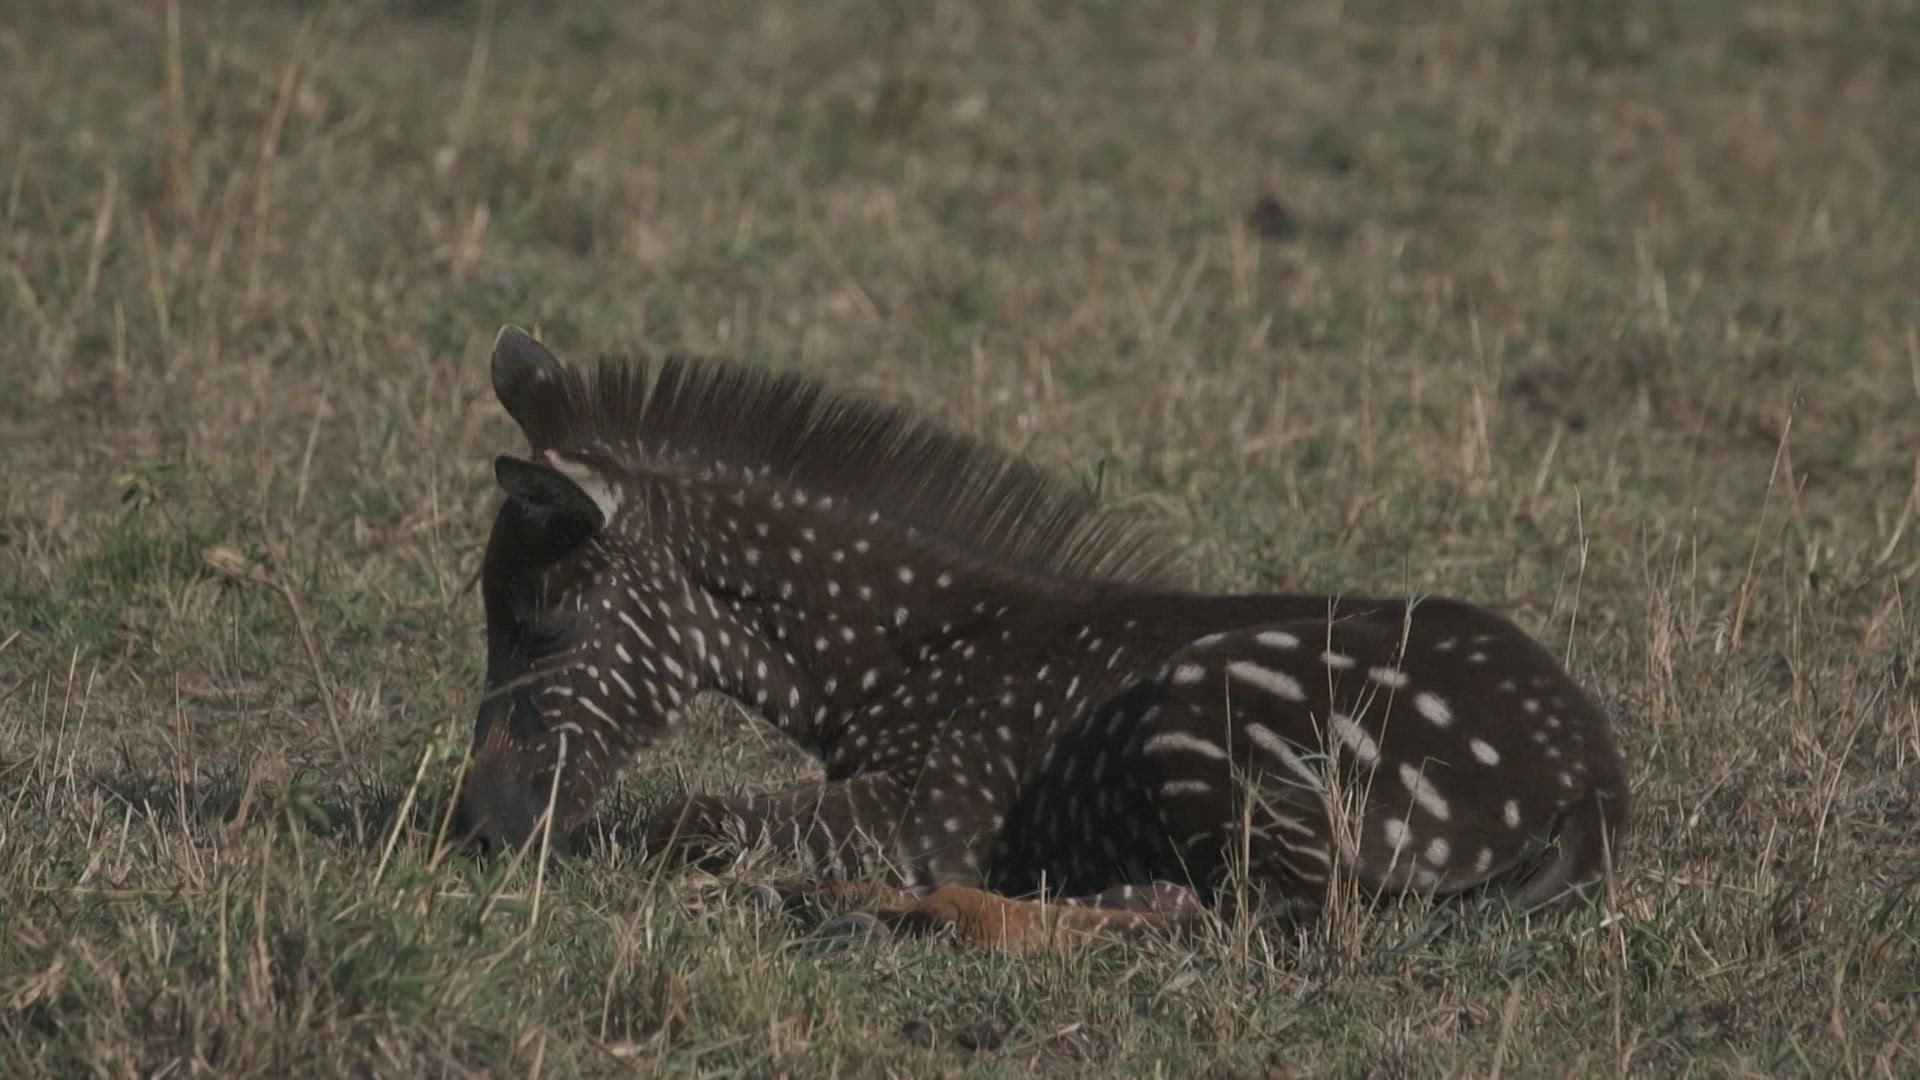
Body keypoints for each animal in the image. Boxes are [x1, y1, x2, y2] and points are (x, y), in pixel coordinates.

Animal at [455, 325, 1629, 946]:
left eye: (545, 622)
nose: (478, 833)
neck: (915, 656)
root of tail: (1592, 776)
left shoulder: (925, 812)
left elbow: (685, 818)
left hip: (1210, 712)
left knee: (1237, 914)